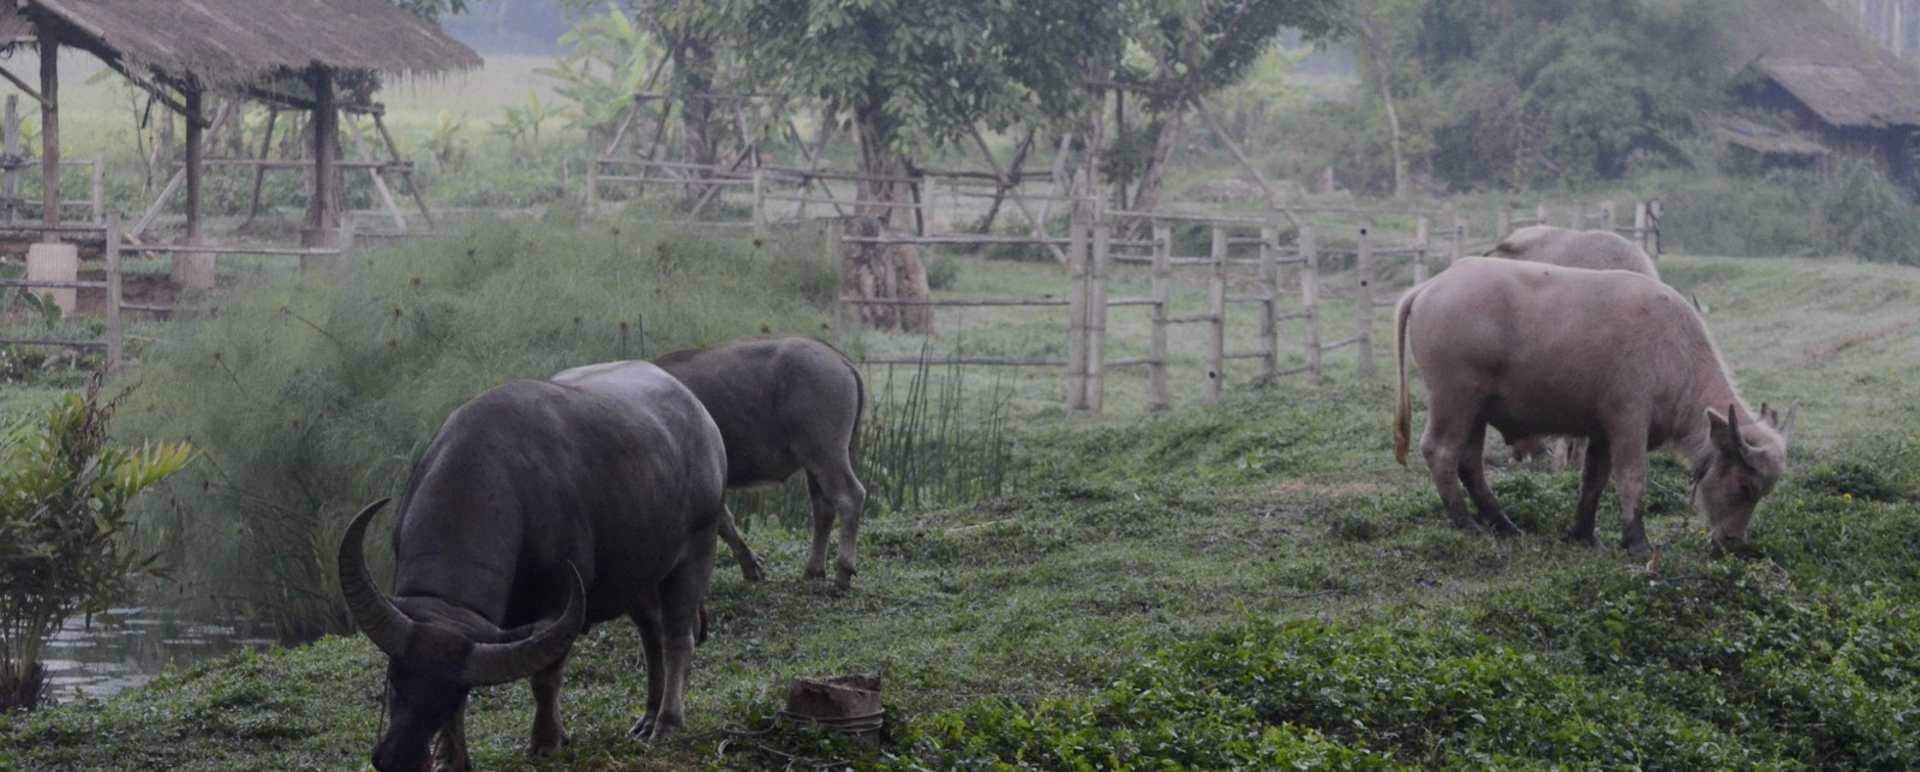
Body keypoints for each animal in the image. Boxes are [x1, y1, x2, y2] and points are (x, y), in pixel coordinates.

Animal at [338, 361, 727, 771]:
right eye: (394, 679)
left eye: (453, 695)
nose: (400, 757)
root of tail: (702, 418)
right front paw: (450, 758)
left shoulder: (558, 600)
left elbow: (545, 678)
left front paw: (545, 741)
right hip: (638, 574)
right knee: (651, 633)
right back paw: (647, 718)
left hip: (698, 547)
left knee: (677, 637)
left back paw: (667, 722)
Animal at [656, 337, 868, 589]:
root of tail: (841, 360)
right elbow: (726, 524)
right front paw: (752, 569)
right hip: (816, 463)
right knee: (823, 507)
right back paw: (813, 570)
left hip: (827, 454)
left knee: (849, 497)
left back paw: (843, 574)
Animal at [1393, 258, 1793, 552]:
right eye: (1746, 487)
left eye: (1765, 493)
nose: (1733, 542)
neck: (1673, 351)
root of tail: (1429, 287)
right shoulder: (1629, 421)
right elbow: (1632, 478)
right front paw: (1637, 542)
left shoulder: (1602, 431)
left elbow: (1594, 480)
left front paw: (1583, 533)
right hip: (1455, 398)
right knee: (1441, 451)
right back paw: (1466, 522)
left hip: (1477, 410)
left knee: (1469, 463)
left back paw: (1504, 524)